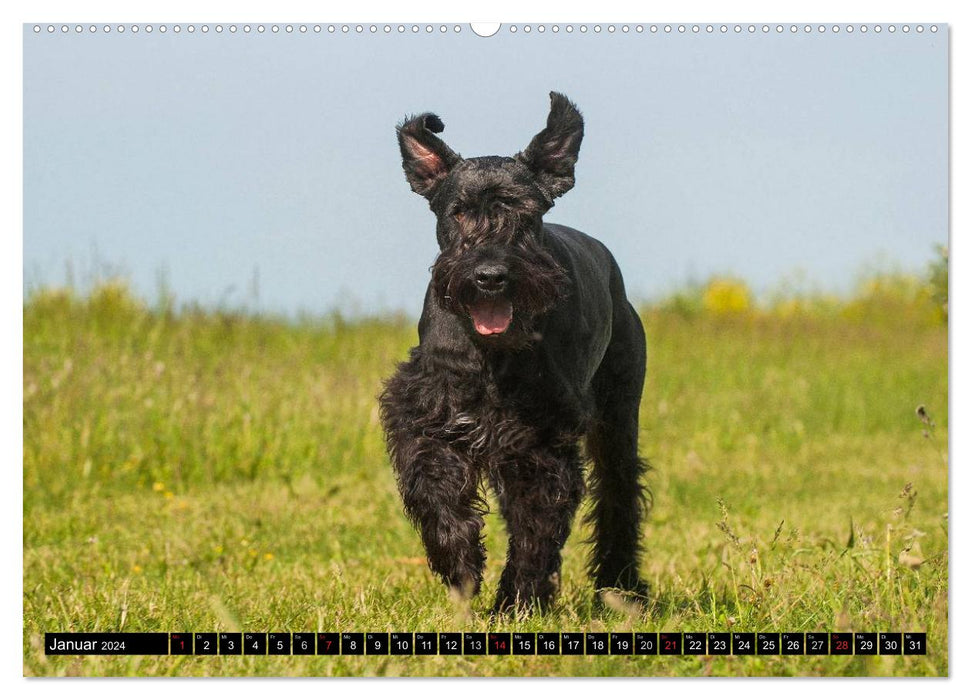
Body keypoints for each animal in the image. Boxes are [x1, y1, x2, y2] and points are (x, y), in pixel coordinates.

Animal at [384, 91, 648, 612]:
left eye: (526, 213)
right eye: (458, 212)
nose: (490, 275)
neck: (490, 352)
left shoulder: (539, 438)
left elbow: (535, 524)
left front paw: (517, 602)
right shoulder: (426, 414)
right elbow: (435, 490)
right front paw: (460, 566)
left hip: (619, 416)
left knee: (619, 496)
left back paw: (622, 587)